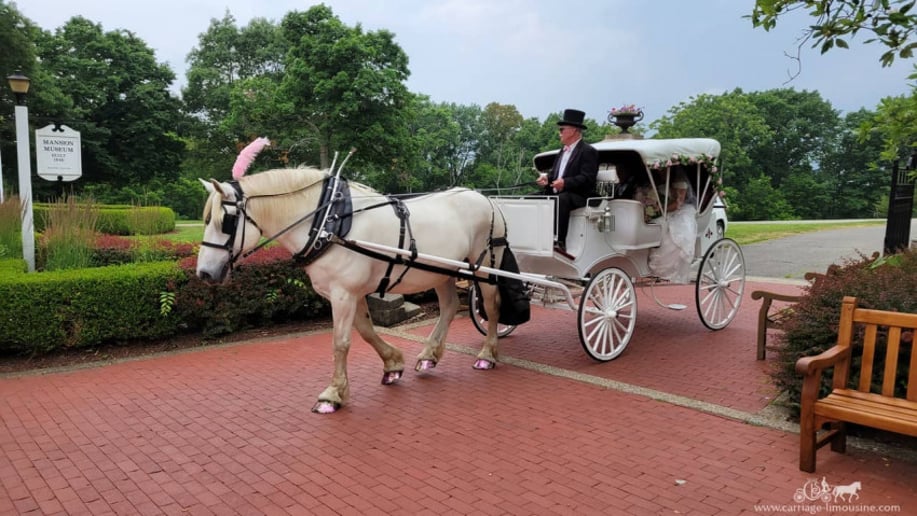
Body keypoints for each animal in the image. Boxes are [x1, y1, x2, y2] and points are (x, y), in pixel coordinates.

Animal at [195, 165, 508, 413]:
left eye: (226, 221)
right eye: (205, 219)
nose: (204, 273)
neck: (328, 224)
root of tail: (487, 199)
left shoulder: (343, 294)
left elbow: (340, 342)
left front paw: (333, 394)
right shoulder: (352, 294)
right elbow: (366, 332)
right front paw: (392, 365)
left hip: (484, 266)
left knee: (492, 306)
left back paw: (487, 354)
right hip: (441, 272)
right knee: (449, 307)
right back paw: (429, 356)